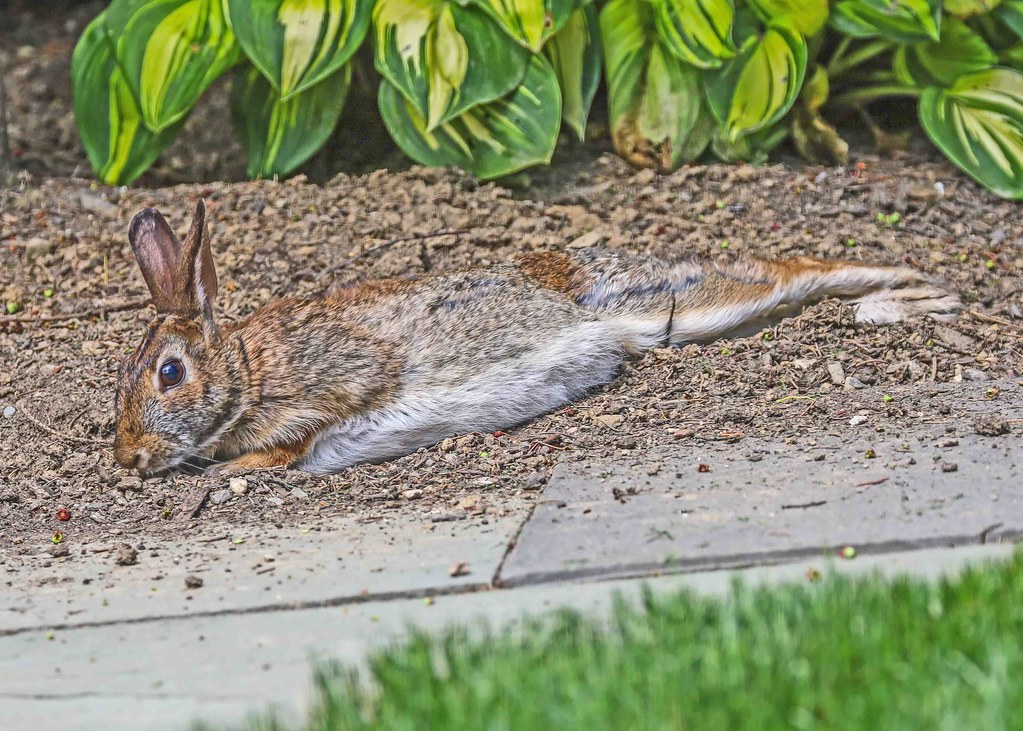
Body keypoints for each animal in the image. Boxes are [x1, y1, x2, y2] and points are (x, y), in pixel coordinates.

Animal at [113, 200, 959, 476]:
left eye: (168, 373)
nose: (126, 458)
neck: (246, 368)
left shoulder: (335, 381)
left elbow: (294, 440)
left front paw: (226, 469)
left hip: (666, 298)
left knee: (795, 271)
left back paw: (917, 293)